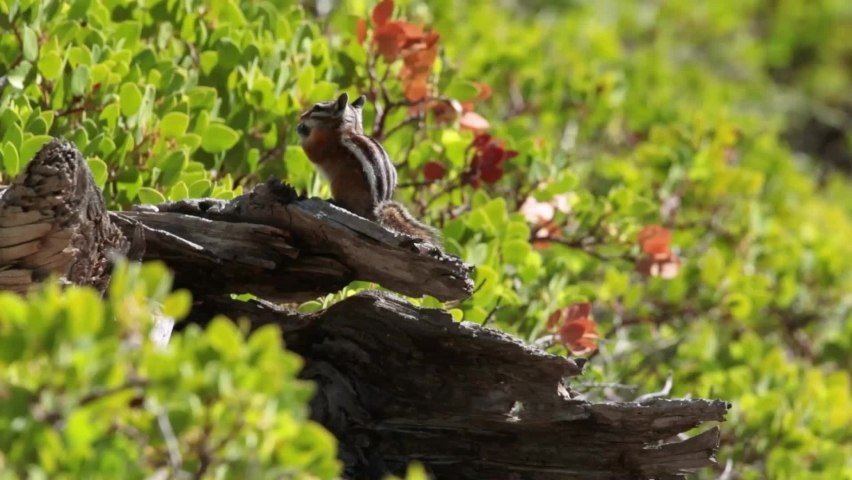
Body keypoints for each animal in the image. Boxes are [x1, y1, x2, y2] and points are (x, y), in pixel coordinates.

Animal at [296, 92, 441, 246]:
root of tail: (374, 211)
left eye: (317, 108)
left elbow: (311, 151)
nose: (301, 117)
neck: (348, 128)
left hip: (339, 184)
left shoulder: (323, 144)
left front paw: (301, 129)